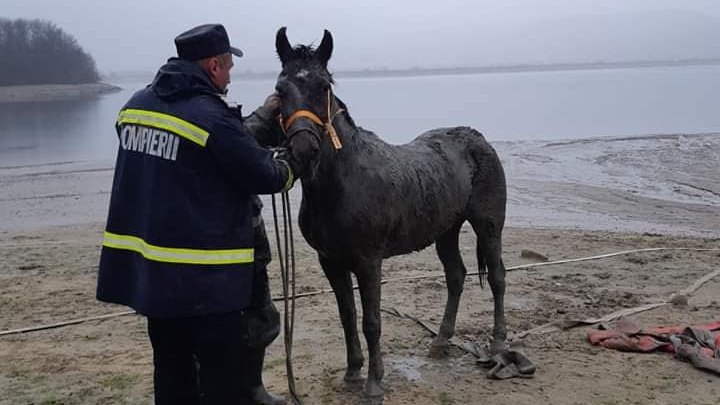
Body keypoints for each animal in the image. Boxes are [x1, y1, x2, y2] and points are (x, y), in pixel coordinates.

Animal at [274, 28, 506, 398]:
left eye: (324, 86)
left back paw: (498, 346)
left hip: (488, 224)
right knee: (456, 277)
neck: (344, 181)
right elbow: (347, 316)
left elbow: (371, 322)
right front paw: (352, 372)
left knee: (497, 277)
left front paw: (373, 384)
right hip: (447, 230)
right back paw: (440, 342)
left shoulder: (368, 262)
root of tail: (476, 138)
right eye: (280, 89)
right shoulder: (331, 261)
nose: (303, 151)